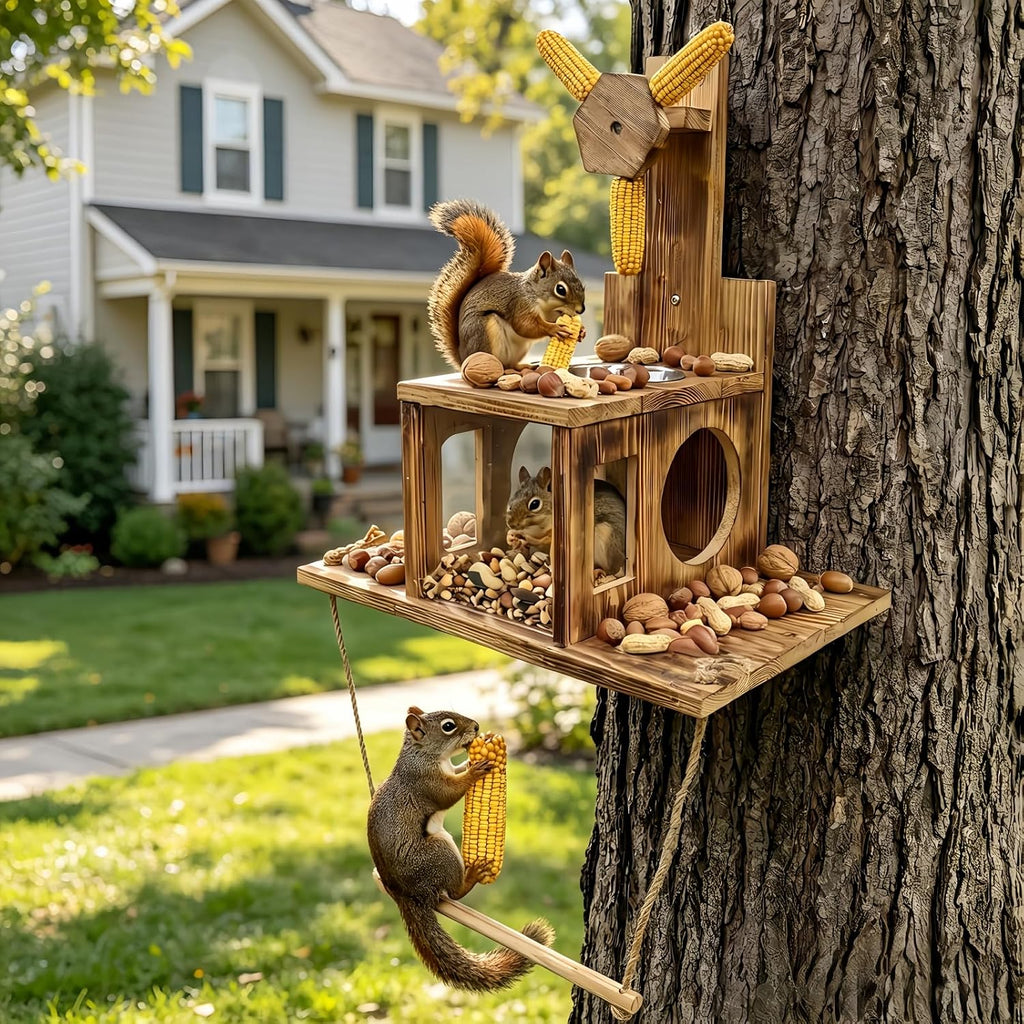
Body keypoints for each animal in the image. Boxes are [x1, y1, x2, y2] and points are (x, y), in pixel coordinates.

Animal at [366, 706, 555, 991]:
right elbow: (450, 791)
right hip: (441, 853)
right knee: (455, 893)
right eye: (448, 726)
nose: (476, 726)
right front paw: (475, 771)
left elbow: (457, 769)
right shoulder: (426, 782)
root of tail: (408, 896)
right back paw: (473, 873)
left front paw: (477, 753)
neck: (424, 755)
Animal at [427, 199, 586, 370]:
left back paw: (525, 367)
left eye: (582, 285)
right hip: (485, 331)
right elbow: (525, 326)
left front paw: (581, 331)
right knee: (501, 365)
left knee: (511, 364)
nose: (581, 310)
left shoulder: (550, 313)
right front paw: (554, 328)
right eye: (560, 289)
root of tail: (463, 358)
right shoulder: (519, 304)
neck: (540, 300)